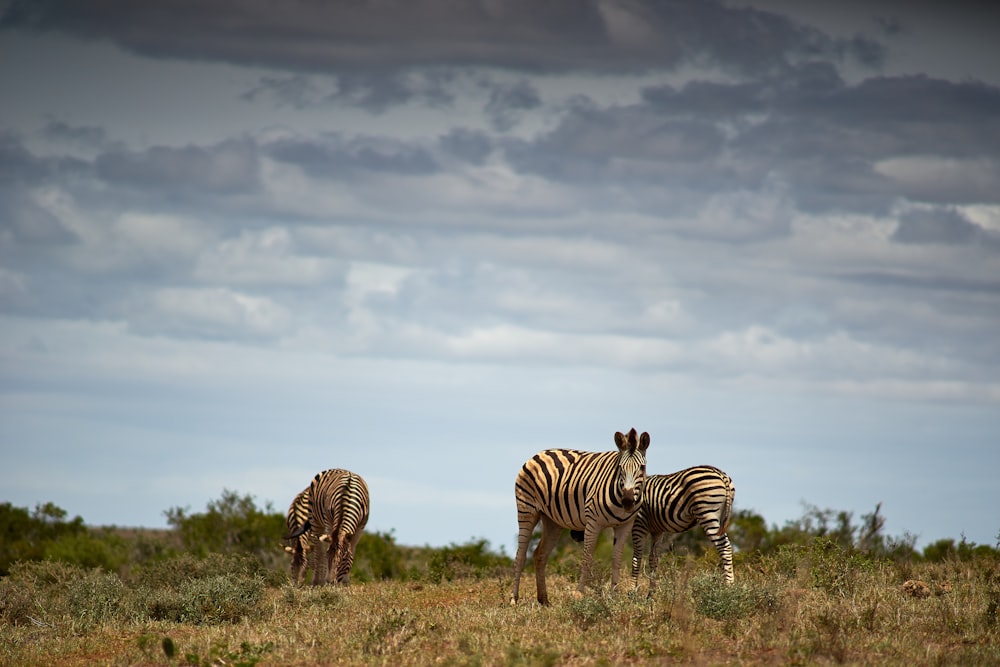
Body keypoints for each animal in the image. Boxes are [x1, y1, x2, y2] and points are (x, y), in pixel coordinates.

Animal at [512, 428, 652, 604]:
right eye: (620, 468)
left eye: (642, 468)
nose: (627, 502)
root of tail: (539, 453)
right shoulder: (593, 522)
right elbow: (587, 557)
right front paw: (579, 594)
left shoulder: (625, 525)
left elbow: (617, 559)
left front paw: (614, 594)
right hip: (527, 510)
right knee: (520, 555)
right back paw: (514, 599)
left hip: (552, 521)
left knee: (540, 554)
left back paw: (544, 600)